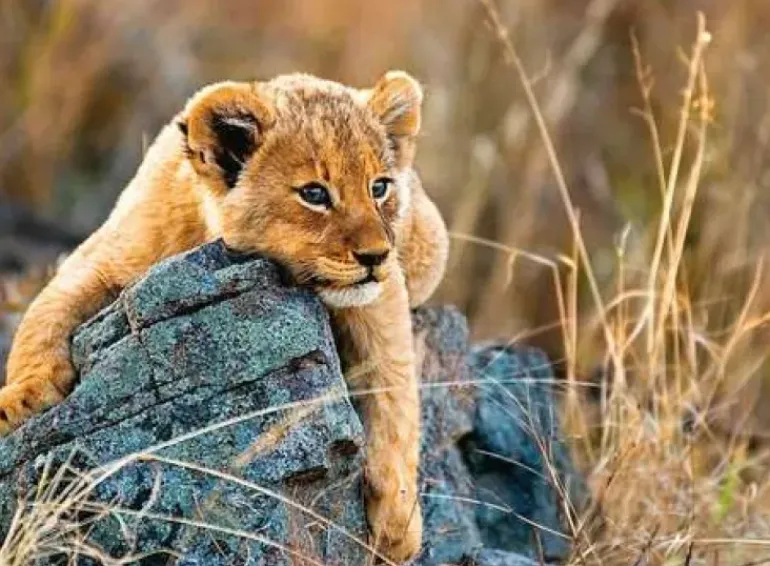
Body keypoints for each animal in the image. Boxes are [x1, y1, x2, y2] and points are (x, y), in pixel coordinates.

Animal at [0, 71, 448, 561]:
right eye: (314, 194)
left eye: (379, 187)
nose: (375, 256)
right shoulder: (99, 258)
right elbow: (43, 315)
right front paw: (18, 400)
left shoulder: (380, 297)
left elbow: (394, 392)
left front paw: (398, 522)